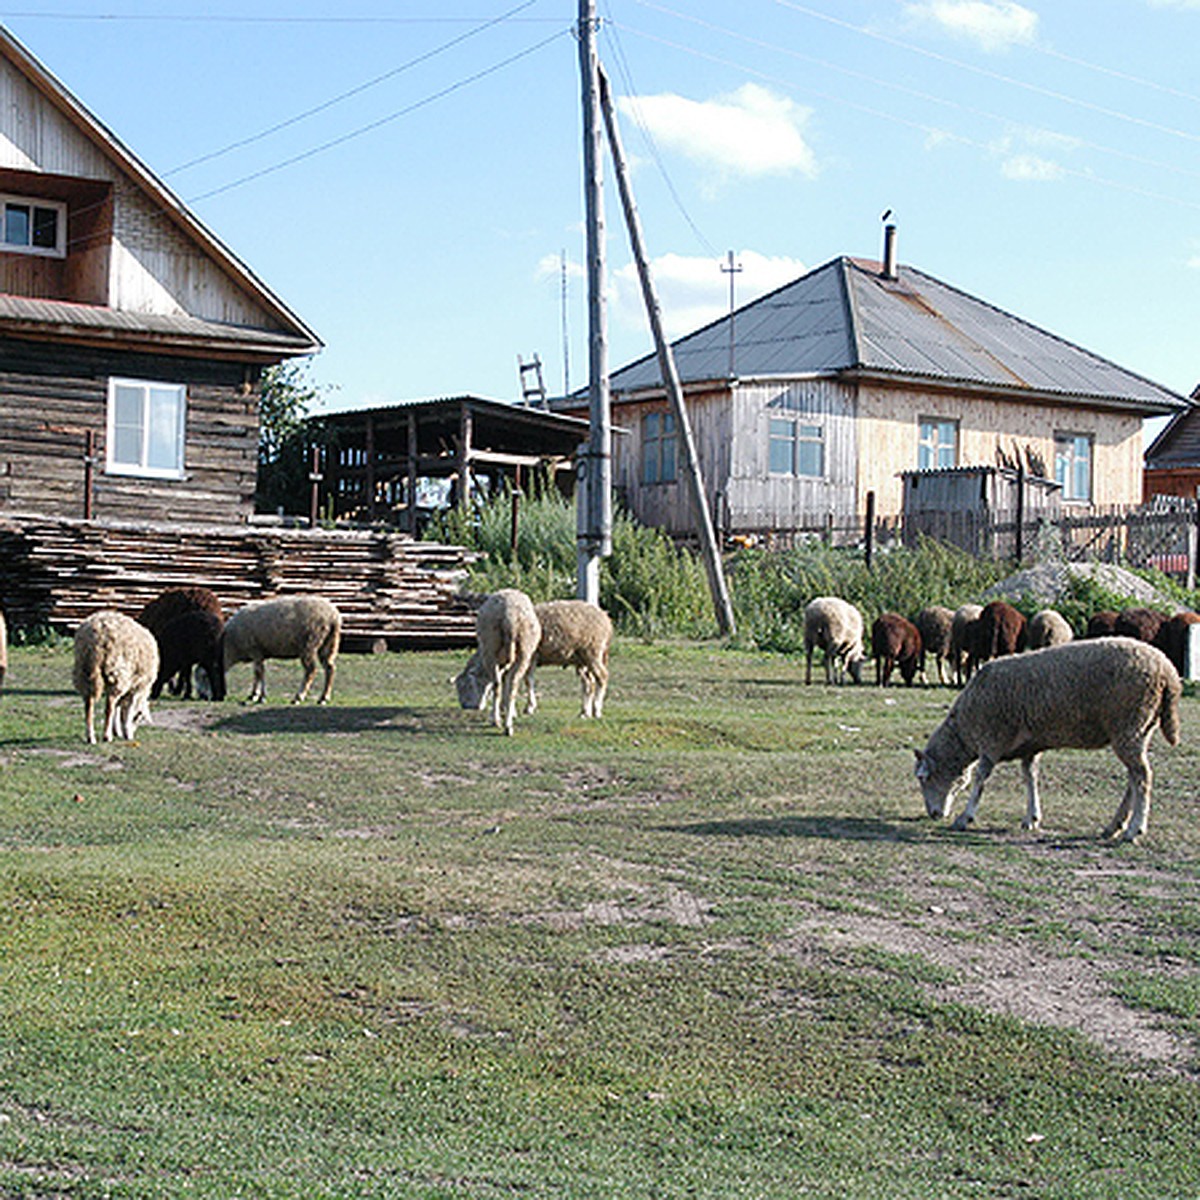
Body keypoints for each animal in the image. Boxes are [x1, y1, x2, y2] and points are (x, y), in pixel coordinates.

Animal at [72, 614, 159, 744]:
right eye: (139, 718)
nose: (132, 731)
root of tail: (96, 637)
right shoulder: (136, 686)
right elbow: (127, 709)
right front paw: (127, 733)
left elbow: (118, 708)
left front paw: (117, 731)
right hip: (116, 671)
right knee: (109, 705)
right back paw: (106, 736)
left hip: (83, 671)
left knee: (89, 705)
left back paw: (91, 737)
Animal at [453, 588, 540, 734]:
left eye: (465, 686)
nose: (466, 706)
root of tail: (510, 616)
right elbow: (505, 682)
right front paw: (508, 710)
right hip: (523, 651)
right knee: (510, 685)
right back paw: (504, 724)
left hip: (491, 650)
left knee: (498, 684)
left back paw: (499, 722)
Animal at [912, 638, 1176, 844]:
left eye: (923, 778)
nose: (934, 814)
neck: (965, 731)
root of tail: (1168, 671)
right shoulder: (1030, 746)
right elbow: (1030, 777)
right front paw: (1032, 817)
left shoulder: (991, 740)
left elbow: (979, 779)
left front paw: (964, 817)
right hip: (1139, 729)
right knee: (1134, 778)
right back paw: (1114, 827)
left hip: (1129, 725)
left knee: (1142, 776)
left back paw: (1134, 829)